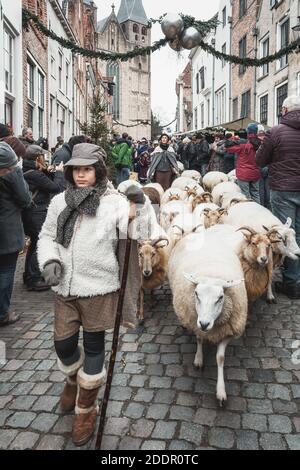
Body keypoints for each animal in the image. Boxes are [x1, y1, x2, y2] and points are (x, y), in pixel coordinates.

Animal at [168, 233, 247, 406]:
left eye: (221, 297)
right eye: (196, 294)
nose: (204, 323)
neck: (212, 274)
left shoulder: (227, 332)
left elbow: (220, 358)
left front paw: (221, 392)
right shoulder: (195, 321)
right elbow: (199, 339)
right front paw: (198, 359)